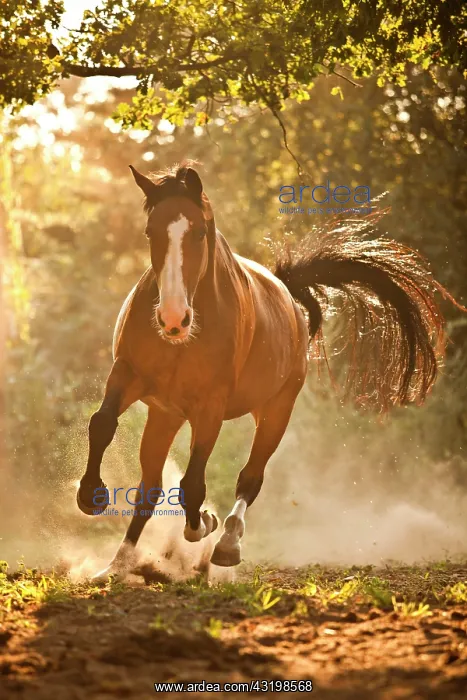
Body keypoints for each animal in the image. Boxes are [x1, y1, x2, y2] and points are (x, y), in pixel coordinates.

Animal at [76, 162, 459, 579]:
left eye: (198, 231)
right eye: (151, 231)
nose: (173, 318)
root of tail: (289, 295)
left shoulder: (211, 406)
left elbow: (194, 485)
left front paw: (202, 525)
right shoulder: (128, 374)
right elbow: (102, 423)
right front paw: (90, 496)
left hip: (275, 411)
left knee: (249, 478)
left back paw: (225, 543)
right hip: (165, 416)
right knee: (149, 488)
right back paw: (117, 564)